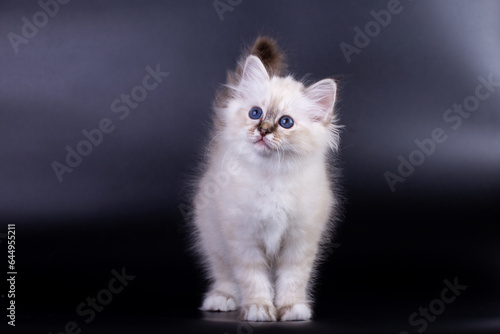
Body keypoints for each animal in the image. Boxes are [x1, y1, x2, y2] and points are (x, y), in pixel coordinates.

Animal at [190, 36, 340, 320]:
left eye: (286, 122)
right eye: (255, 113)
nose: (263, 130)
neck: (272, 177)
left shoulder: (299, 240)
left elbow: (293, 278)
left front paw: (291, 308)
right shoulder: (243, 238)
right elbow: (252, 279)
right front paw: (259, 308)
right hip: (213, 238)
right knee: (223, 274)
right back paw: (222, 299)